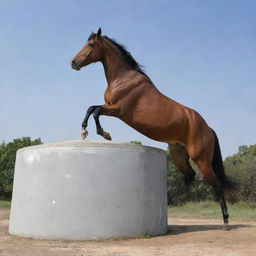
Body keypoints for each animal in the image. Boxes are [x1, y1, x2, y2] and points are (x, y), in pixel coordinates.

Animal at [71, 28, 234, 228]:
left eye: (91, 44)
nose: (73, 62)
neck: (123, 78)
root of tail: (208, 128)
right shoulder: (110, 107)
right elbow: (91, 108)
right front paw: (87, 131)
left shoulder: (118, 110)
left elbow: (94, 111)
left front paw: (102, 134)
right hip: (179, 156)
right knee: (189, 176)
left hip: (201, 159)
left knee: (216, 184)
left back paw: (225, 221)